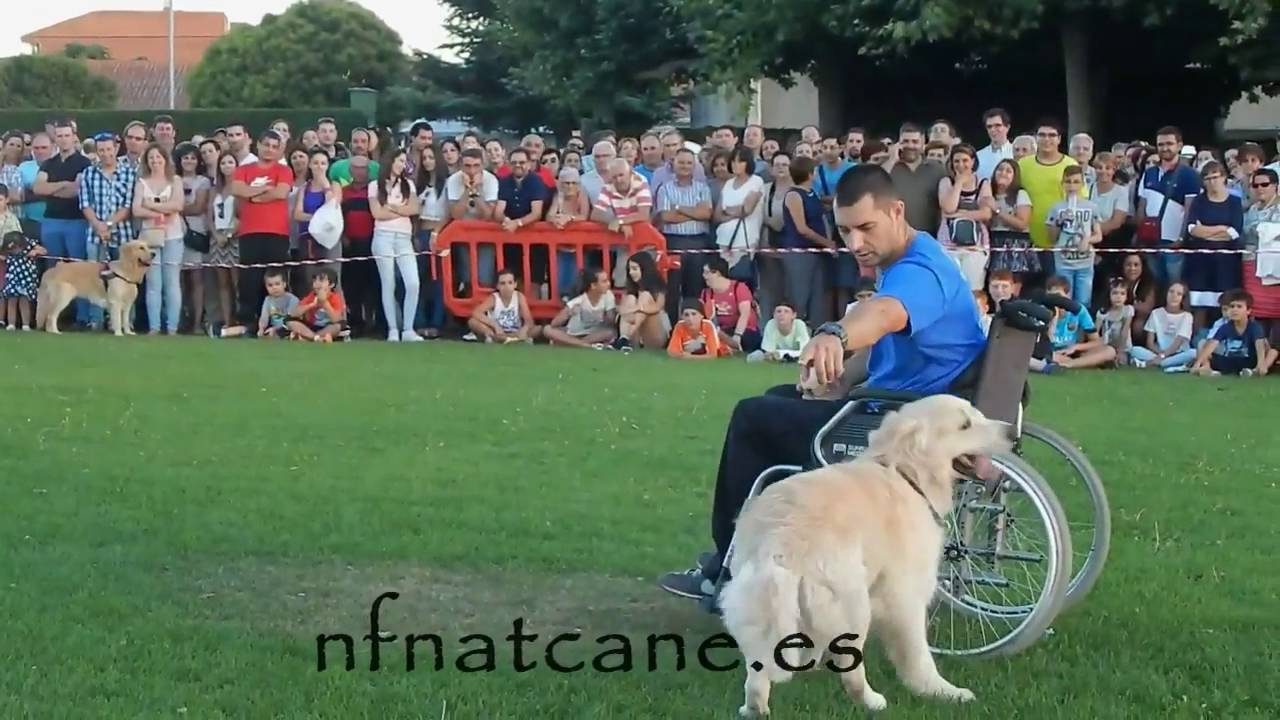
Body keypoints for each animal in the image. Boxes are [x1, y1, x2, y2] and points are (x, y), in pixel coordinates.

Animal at [718, 394, 1013, 717]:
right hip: (855, 607)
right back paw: (873, 702)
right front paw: (942, 692)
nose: (1014, 433)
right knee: (852, 673)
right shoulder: (906, 596)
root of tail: (778, 541)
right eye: (965, 425)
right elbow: (918, 656)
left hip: (758, 609)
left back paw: (755, 710)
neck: (907, 472)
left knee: (757, 679)